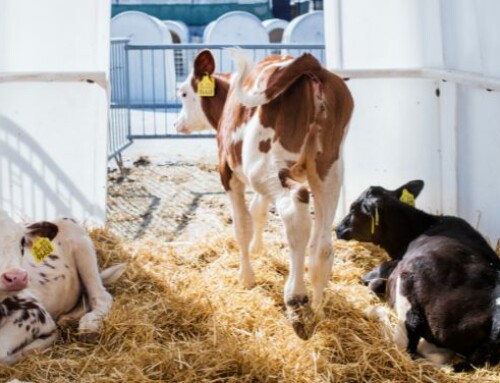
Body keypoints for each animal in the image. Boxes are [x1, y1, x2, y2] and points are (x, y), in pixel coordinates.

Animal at [0, 208, 125, 364]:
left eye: (21, 241)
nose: (16, 276)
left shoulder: (35, 313)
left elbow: (2, 352)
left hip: (79, 240)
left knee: (101, 295)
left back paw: (89, 325)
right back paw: (68, 319)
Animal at [174, 48, 354, 340]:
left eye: (183, 93)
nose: (176, 123)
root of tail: (311, 64)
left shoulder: (227, 171)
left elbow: (242, 226)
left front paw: (246, 277)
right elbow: (258, 210)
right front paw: (258, 250)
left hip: (265, 166)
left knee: (295, 210)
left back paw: (296, 300)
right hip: (328, 168)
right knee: (323, 241)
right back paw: (318, 308)